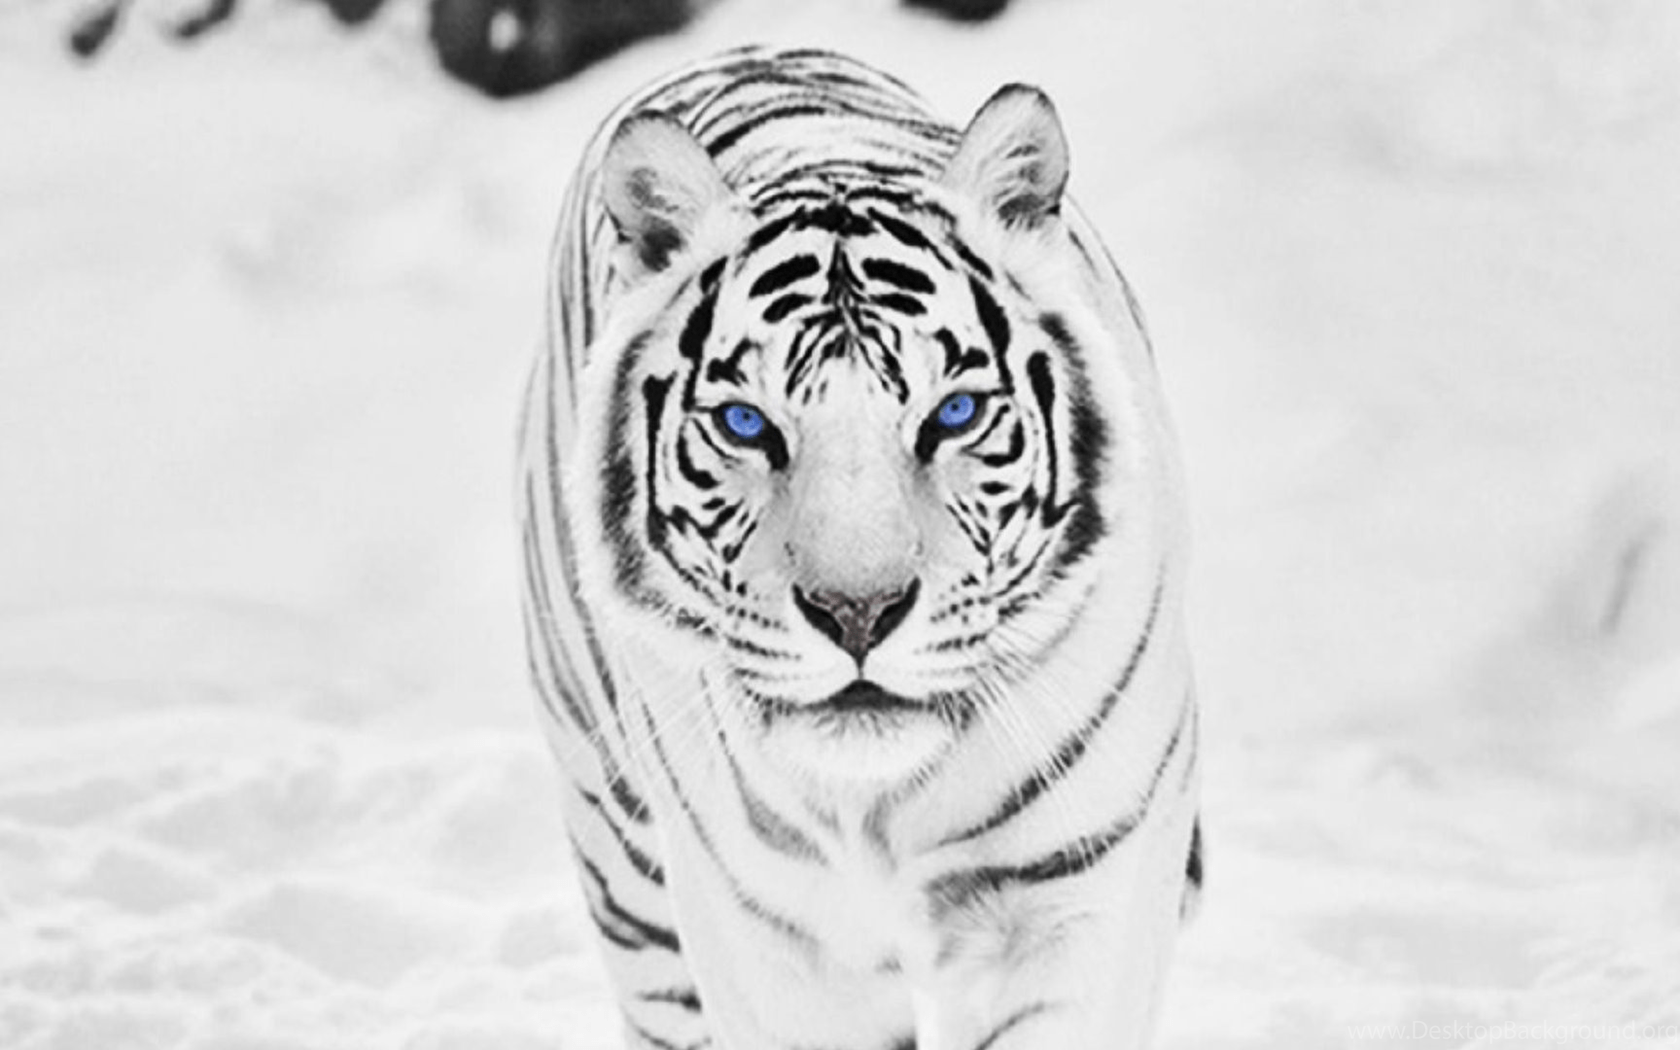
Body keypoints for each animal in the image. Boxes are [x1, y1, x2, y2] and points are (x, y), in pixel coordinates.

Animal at [518, 45, 1201, 1050]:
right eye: (746, 423)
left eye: (954, 413)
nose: (857, 613)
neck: (886, 807)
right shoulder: (765, 937)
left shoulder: (1078, 890)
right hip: (621, 854)